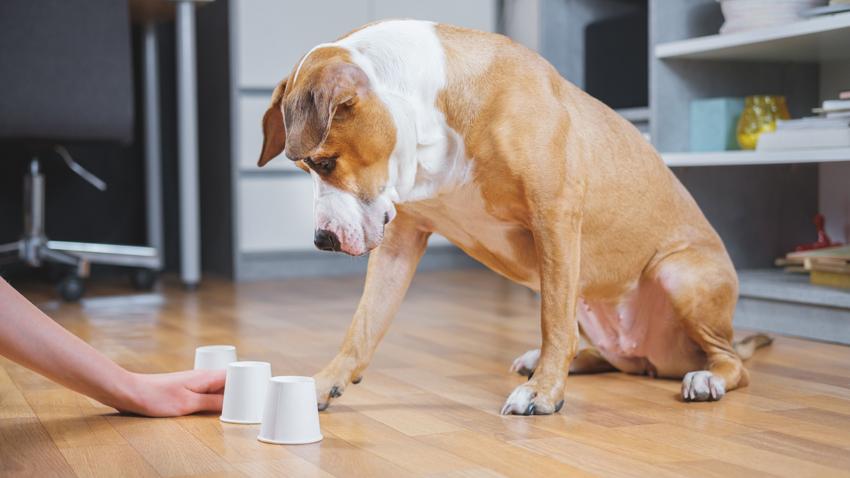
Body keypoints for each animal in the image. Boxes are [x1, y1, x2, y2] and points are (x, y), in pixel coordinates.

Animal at [255, 19, 764, 414]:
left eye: (324, 163)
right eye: (305, 168)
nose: (322, 239)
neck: (432, 114)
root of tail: (657, 357)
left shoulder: (554, 216)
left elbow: (552, 321)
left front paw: (543, 394)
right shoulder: (400, 241)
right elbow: (362, 325)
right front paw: (323, 383)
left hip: (679, 275)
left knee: (730, 362)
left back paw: (705, 378)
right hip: (595, 302)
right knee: (611, 354)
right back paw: (565, 360)